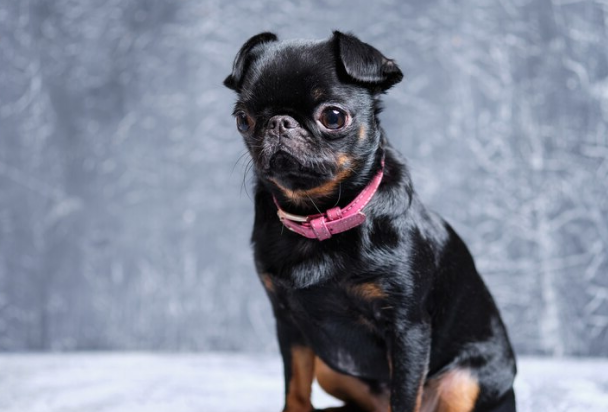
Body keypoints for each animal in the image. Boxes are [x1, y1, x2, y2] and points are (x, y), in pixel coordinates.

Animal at [223, 32, 516, 412]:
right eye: (242, 120)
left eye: (333, 117)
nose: (279, 122)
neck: (320, 216)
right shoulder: (288, 324)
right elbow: (296, 389)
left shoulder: (407, 329)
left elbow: (404, 397)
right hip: (331, 370)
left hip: (463, 382)